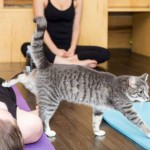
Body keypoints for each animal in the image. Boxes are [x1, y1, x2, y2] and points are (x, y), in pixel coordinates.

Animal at [2, 16, 150, 138]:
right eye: (140, 91)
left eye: (147, 90)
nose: (148, 97)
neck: (120, 85)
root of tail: (47, 64)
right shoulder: (127, 109)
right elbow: (140, 122)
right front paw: (148, 133)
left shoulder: (98, 108)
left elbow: (96, 121)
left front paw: (97, 131)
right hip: (51, 101)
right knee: (43, 117)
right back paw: (48, 131)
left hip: (34, 86)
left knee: (23, 75)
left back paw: (6, 83)